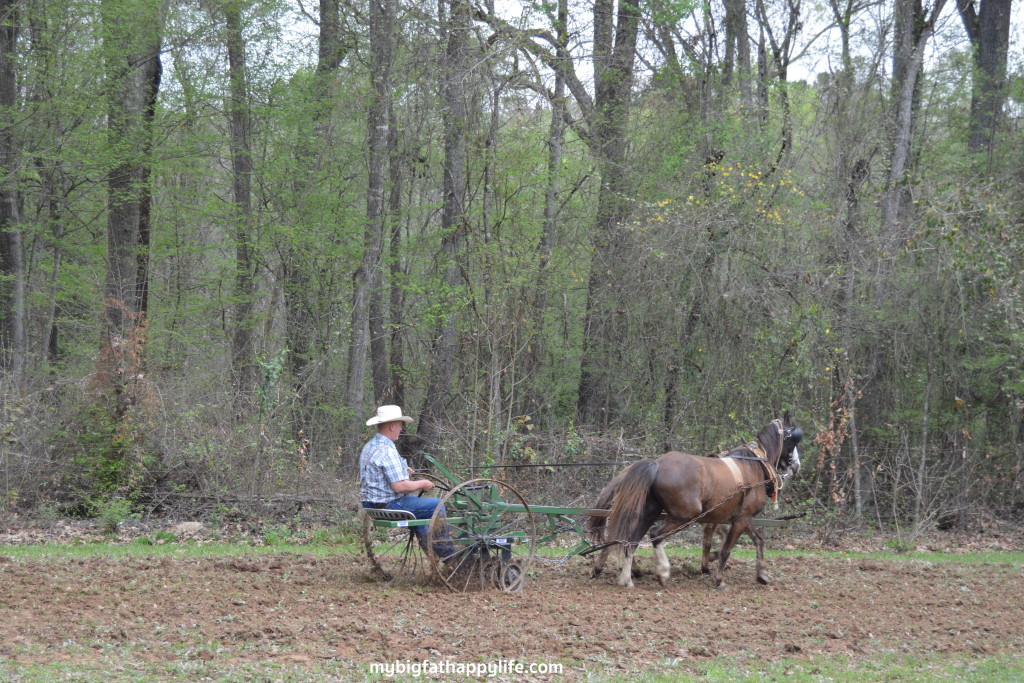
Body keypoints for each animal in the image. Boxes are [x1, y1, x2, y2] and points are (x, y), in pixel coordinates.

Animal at [585, 413, 798, 589]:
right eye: (795, 438)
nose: (796, 465)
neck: (754, 464)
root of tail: (657, 463)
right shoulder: (741, 519)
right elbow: (726, 550)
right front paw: (719, 580)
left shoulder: (741, 518)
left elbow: (758, 540)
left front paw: (762, 574)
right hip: (686, 515)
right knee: (655, 536)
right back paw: (662, 572)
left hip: (649, 512)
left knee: (631, 540)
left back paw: (626, 579)